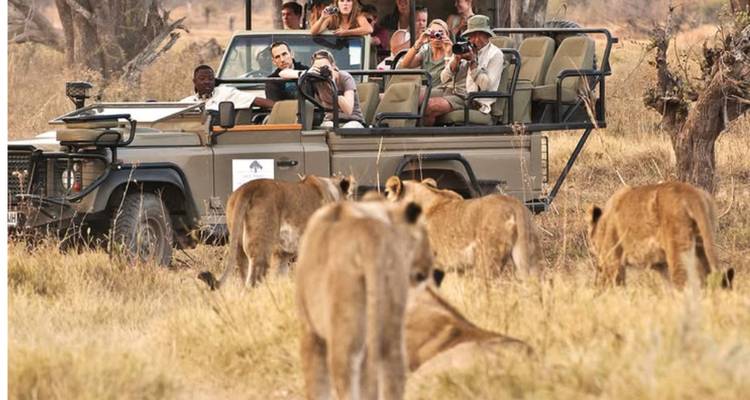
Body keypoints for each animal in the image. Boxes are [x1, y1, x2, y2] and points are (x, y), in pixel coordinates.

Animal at [199, 175, 355, 289]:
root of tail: (249, 188)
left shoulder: (281, 255)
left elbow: (281, 280)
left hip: (239, 249)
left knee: (244, 281)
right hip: (261, 249)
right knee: (252, 284)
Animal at [296, 199, 433, 400]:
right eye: (424, 234)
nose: (430, 266)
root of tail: (370, 237)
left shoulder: (310, 331)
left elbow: (317, 388)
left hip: (345, 329)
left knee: (346, 380)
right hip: (390, 328)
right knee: (394, 372)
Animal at [587, 182, 734, 288]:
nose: (597, 261)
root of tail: (691, 194)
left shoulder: (612, 261)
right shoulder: (661, 265)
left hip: (678, 251)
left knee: (684, 283)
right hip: (703, 244)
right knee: (708, 279)